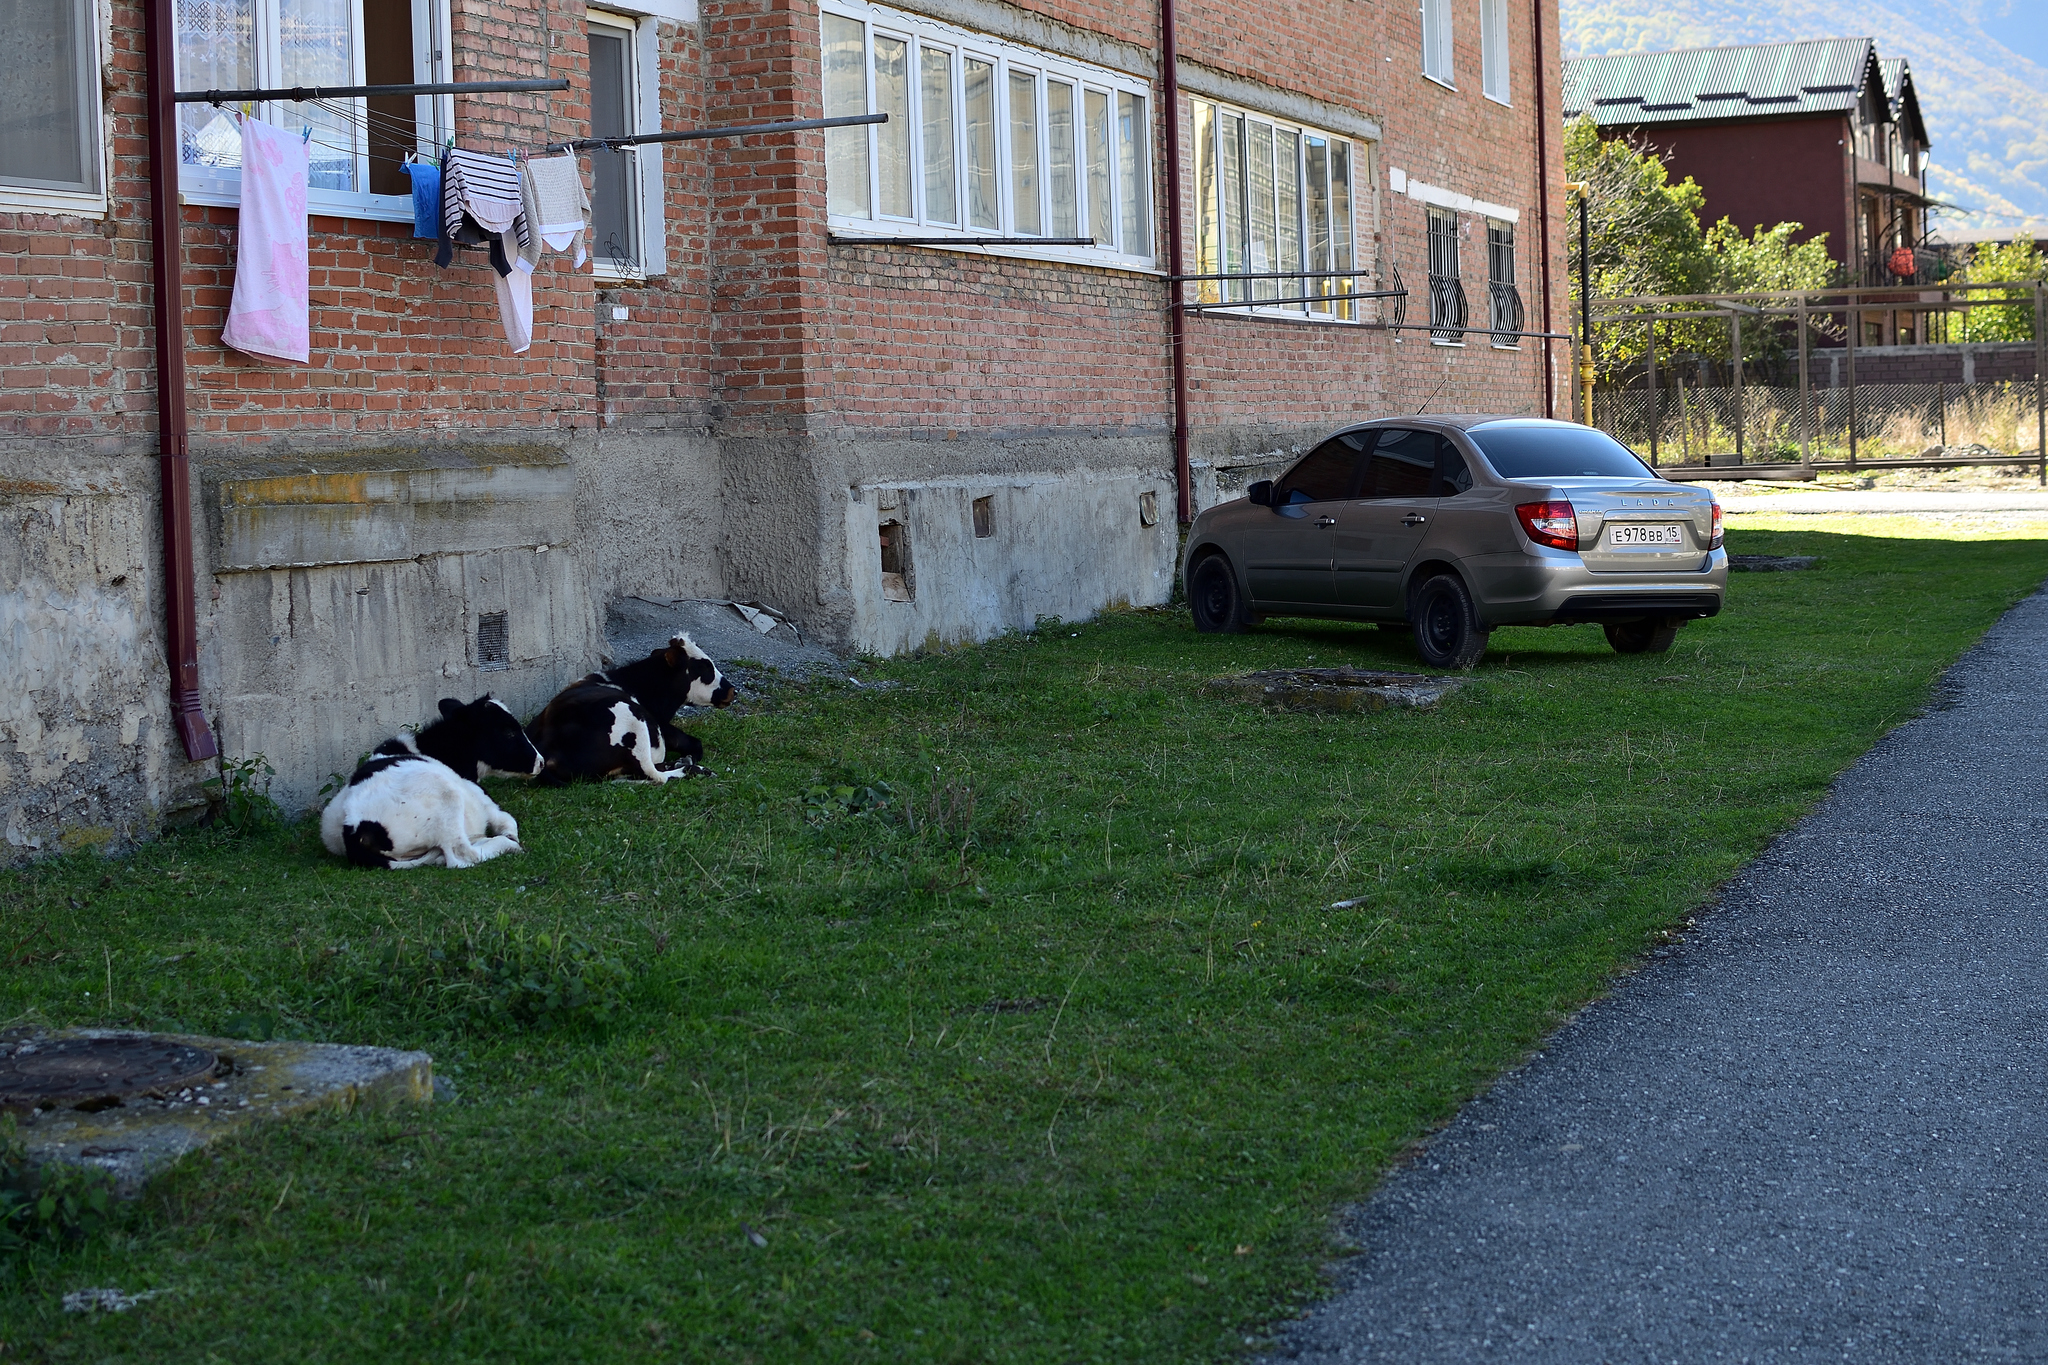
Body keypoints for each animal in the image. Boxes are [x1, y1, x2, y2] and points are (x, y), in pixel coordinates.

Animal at [319, 699, 544, 871]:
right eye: (508, 732)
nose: (541, 762)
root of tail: (354, 828)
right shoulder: (483, 800)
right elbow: (508, 822)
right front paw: (510, 838)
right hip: (446, 797)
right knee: (461, 856)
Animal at [528, 634, 737, 785]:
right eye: (705, 667)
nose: (732, 690)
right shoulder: (660, 724)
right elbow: (693, 743)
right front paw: (688, 760)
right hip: (632, 718)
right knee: (656, 775)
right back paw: (697, 770)